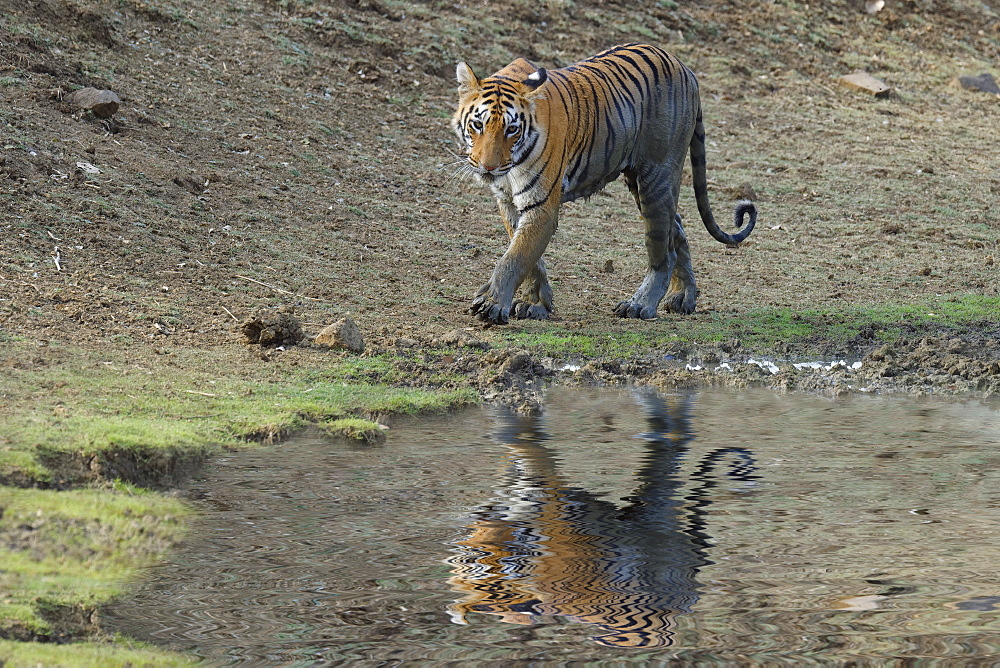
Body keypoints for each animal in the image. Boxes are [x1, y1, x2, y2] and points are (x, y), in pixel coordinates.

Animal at [450, 41, 752, 324]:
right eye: (478, 125)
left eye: (511, 129)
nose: (489, 166)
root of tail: (685, 67)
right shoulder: (508, 201)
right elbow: (528, 257)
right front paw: (534, 304)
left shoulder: (541, 205)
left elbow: (515, 257)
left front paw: (491, 305)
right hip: (640, 182)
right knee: (676, 226)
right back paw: (683, 297)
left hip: (657, 176)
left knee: (663, 251)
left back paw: (640, 305)